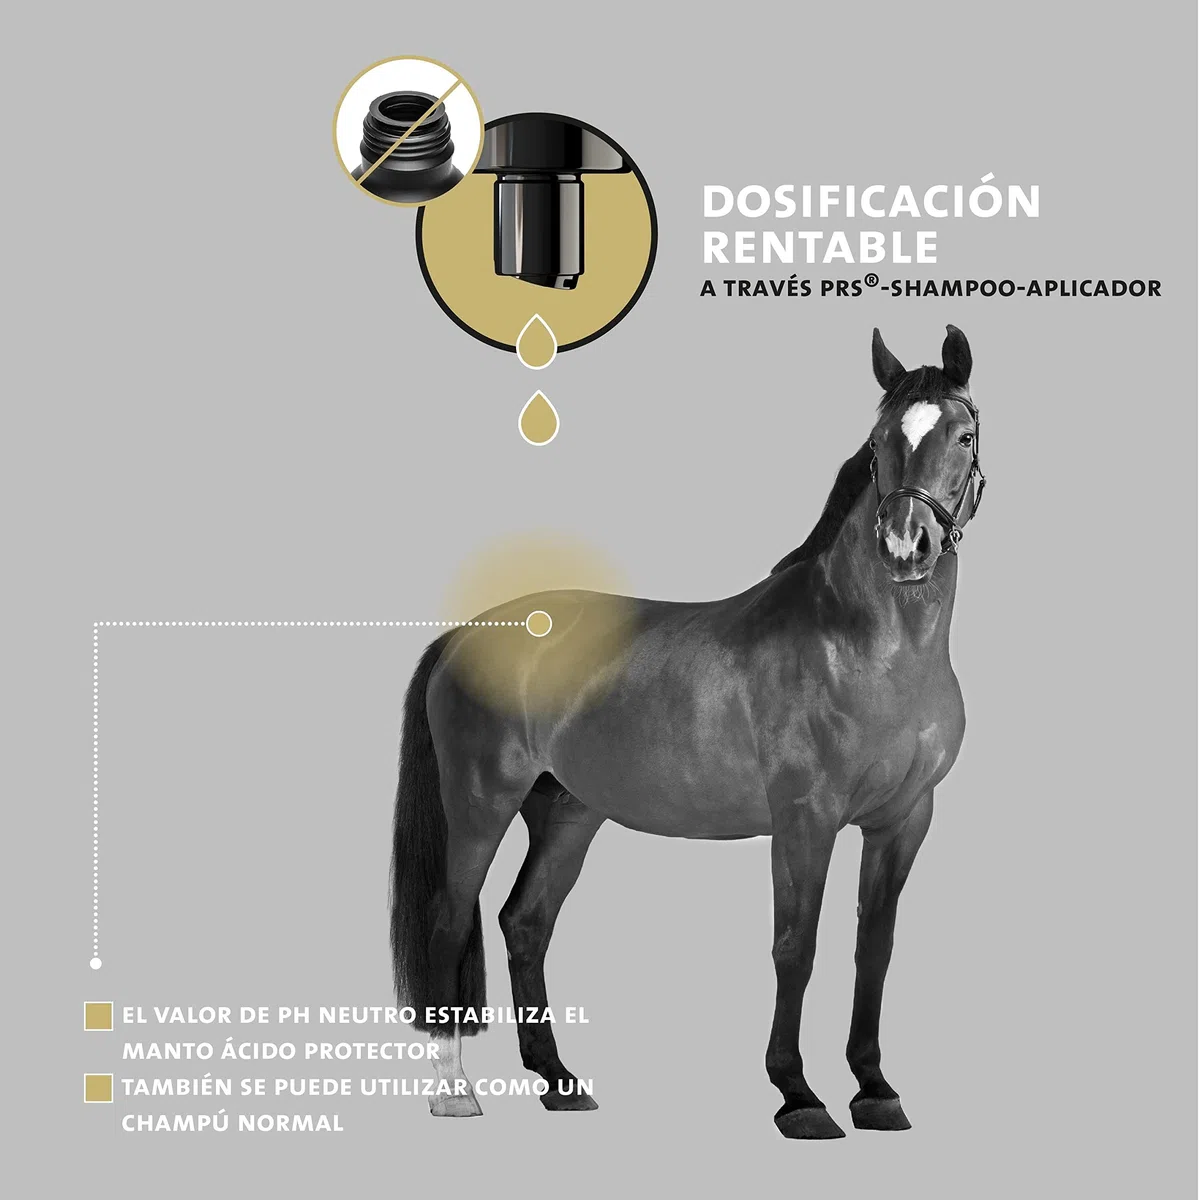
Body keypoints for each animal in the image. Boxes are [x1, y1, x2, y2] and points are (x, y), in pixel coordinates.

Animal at [390, 325, 986, 1139]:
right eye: (878, 441)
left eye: (964, 434)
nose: (906, 545)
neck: (869, 646)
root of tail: (464, 634)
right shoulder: (804, 819)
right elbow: (796, 946)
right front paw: (798, 1096)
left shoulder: (904, 820)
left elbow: (876, 949)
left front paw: (875, 1090)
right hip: (481, 803)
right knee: (451, 922)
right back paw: (454, 1091)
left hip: (568, 811)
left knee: (525, 922)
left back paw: (559, 1081)